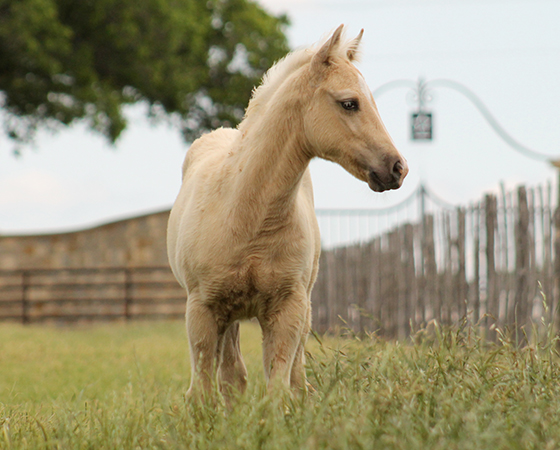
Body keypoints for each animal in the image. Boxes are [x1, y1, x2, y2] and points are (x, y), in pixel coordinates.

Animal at [166, 26, 406, 402]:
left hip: (303, 307)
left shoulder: (288, 307)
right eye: (349, 103)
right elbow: (203, 390)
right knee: (232, 374)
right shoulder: (202, 309)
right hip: (228, 314)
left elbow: (280, 388)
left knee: (292, 374)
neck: (247, 217)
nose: (397, 168)